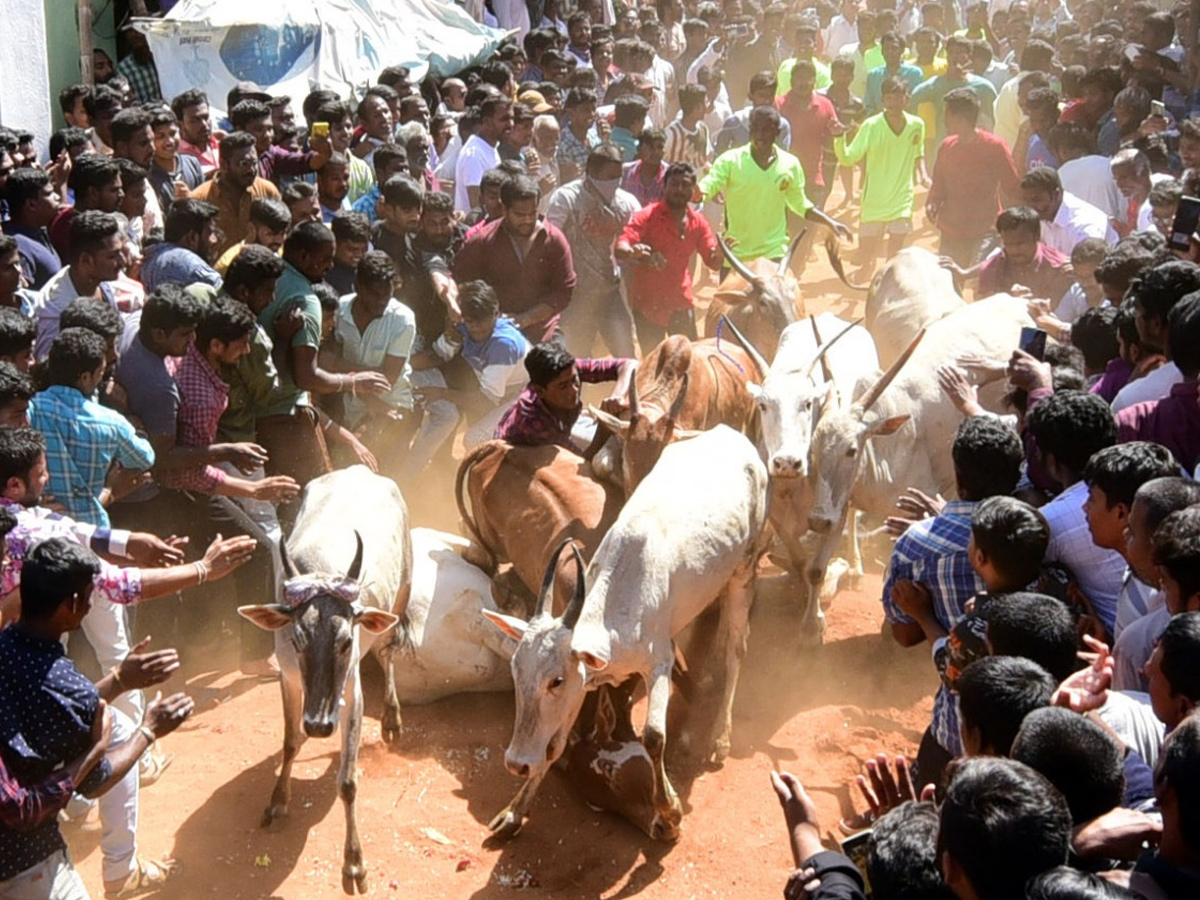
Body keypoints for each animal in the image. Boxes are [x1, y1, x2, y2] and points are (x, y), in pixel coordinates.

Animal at [236, 468, 410, 897]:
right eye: (298, 639)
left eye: (345, 641)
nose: (318, 725)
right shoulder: (289, 677)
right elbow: (288, 742)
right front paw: (278, 802)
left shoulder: (351, 694)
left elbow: (347, 781)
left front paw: (354, 864)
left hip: (401, 593)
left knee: (389, 652)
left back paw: (393, 717)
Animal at [480, 427, 768, 844]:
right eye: (516, 672)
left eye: (556, 680)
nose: (517, 762)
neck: (616, 614)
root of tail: (729, 433)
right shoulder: (586, 682)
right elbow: (556, 745)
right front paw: (514, 812)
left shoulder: (659, 661)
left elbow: (653, 737)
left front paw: (669, 811)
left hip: (743, 571)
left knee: (735, 650)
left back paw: (719, 735)